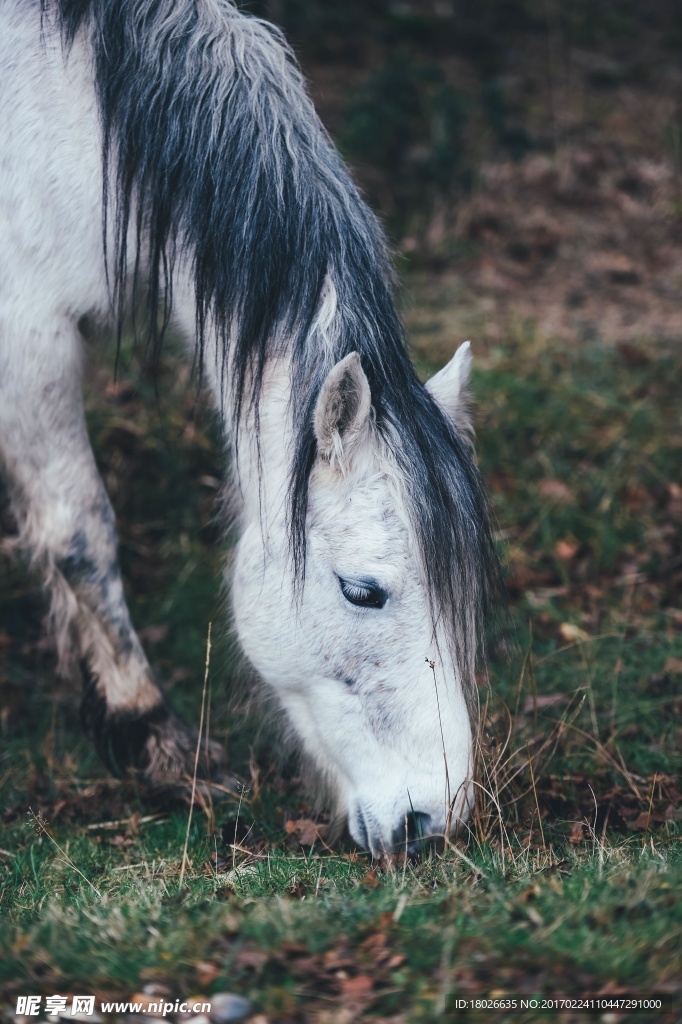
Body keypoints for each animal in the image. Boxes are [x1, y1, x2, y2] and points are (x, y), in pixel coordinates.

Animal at [1, 0, 493, 856]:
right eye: (363, 591)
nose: (435, 819)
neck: (72, 109)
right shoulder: (27, 333)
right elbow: (80, 535)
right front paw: (153, 737)